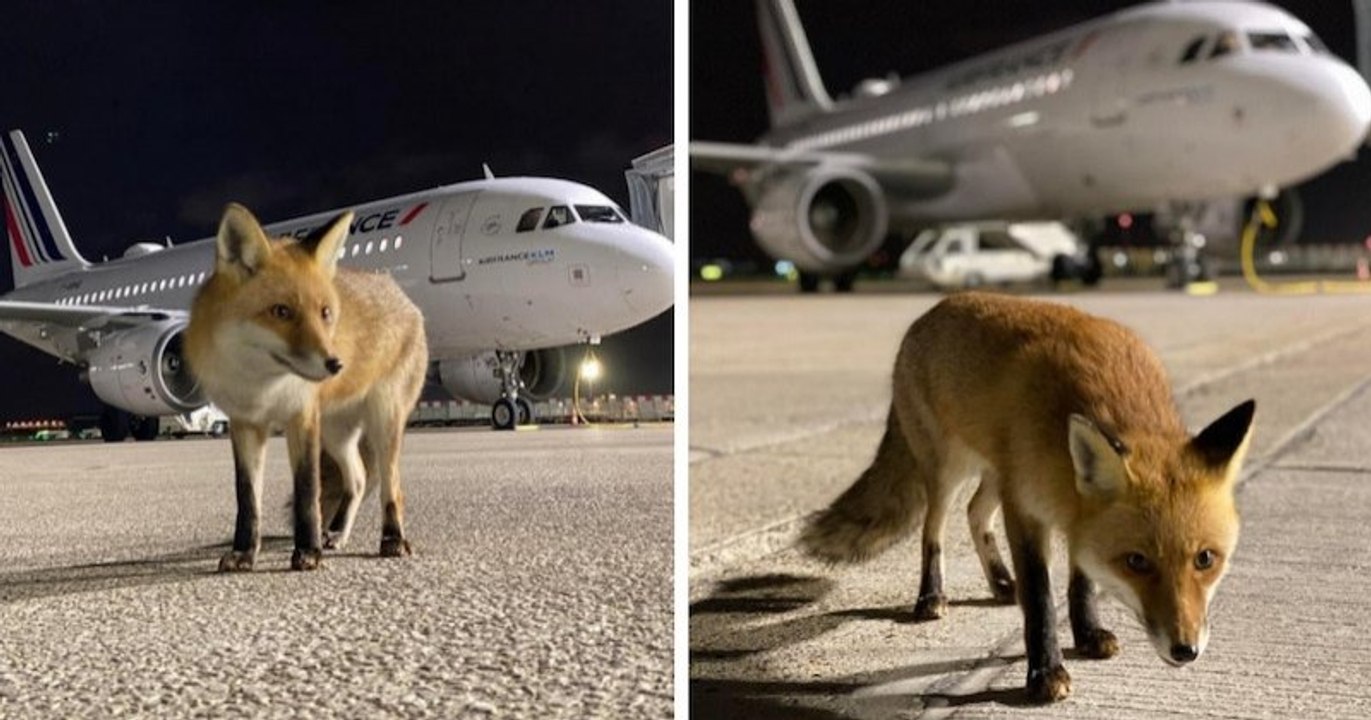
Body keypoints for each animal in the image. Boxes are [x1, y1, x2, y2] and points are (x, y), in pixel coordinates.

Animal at [186, 203, 428, 572]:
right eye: (281, 311)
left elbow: (307, 492)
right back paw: (338, 534)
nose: (335, 364)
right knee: (357, 479)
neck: (262, 386)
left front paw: (308, 551)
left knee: (391, 487)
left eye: (325, 313)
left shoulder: (301, 417)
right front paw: (244, 553)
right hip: (336, 433)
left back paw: (392, 539)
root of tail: (401, 294)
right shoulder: (245, 424)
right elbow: (247, 499)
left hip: (383, 421)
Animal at [800, 292, 1255, 703]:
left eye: (1206, 559)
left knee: (975, 513)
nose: (1185, 650)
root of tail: (931, 310)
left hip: (995, 473)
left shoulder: (1072, 516)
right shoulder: (1025, 508)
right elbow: (1039, 597)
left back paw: (1001, 582)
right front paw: (1045, 673)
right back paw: (932, 595)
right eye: (1137, 562)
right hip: (949, 470)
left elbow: (1081, 582)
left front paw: (1087, 633)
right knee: (934, 529)